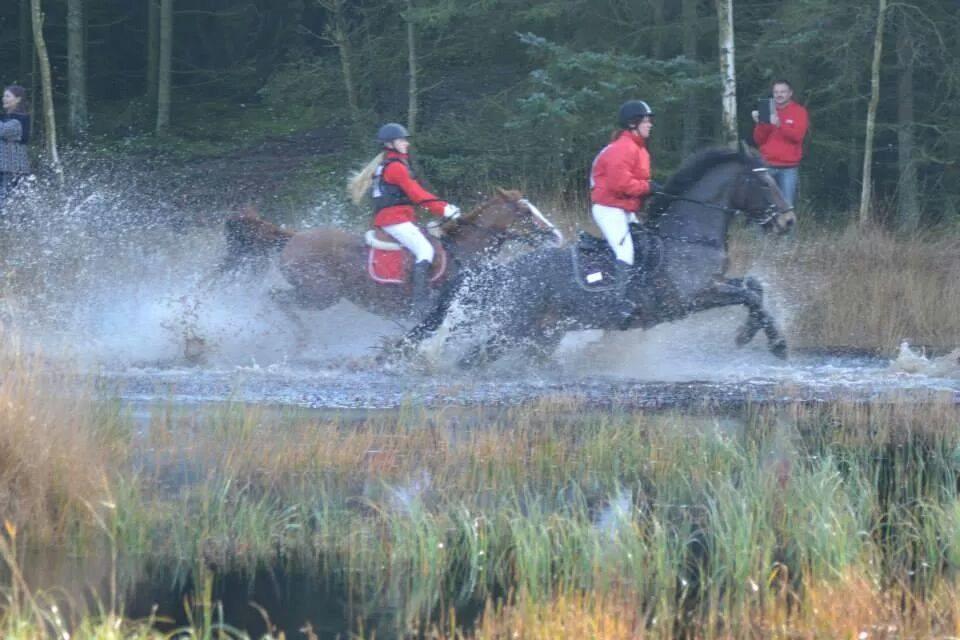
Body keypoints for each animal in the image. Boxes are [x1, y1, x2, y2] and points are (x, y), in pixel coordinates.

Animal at [216, 189, 564, 320]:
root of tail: (294, 237)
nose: (556, 235)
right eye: (525, 213)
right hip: (318, 294)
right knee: (276, 299)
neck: (462, 249)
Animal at [398, 148, 796, 368]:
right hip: (515, 328)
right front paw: (775, 345)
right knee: (472, 358)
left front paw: (749, 333)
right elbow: (748, 294)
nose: (788, 221)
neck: (688, 236)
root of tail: (503, 272)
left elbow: (753, 287)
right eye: (764, 183)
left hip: (541, 334)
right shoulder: (692, 298)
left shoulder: (715, 284)